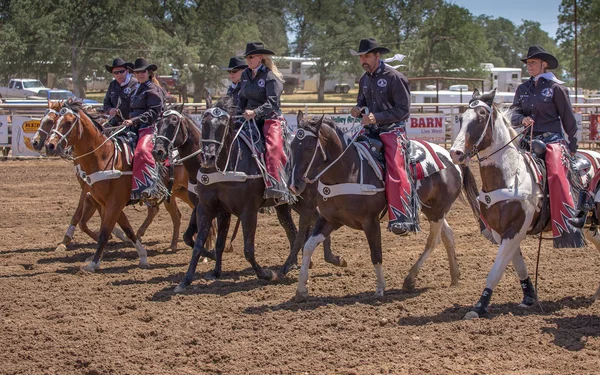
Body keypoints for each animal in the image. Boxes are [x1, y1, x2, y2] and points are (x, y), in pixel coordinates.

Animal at [288, 113, 476, 302]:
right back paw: (454, 276)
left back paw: (410, 279)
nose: (294, 186)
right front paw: (301, 290)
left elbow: (376, 254)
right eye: (291, 147)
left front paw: (379, 289)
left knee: (433, 240)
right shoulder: (329, 219)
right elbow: (308, 246)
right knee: (447, 236)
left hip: (438, 209)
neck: (348, 172)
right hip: (430, 209)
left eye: (309, 149)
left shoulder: (370, 222)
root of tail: (450, 158)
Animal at [450, 89, 600, 320]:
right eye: (461, 118)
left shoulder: (515, 228)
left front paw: (480, 306)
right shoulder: (501, 231)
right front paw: (529, 297)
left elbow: (495, 271)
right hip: (591, 227)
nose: (455, 153)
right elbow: (518, 265)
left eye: (481, 117)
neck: (511, 176)